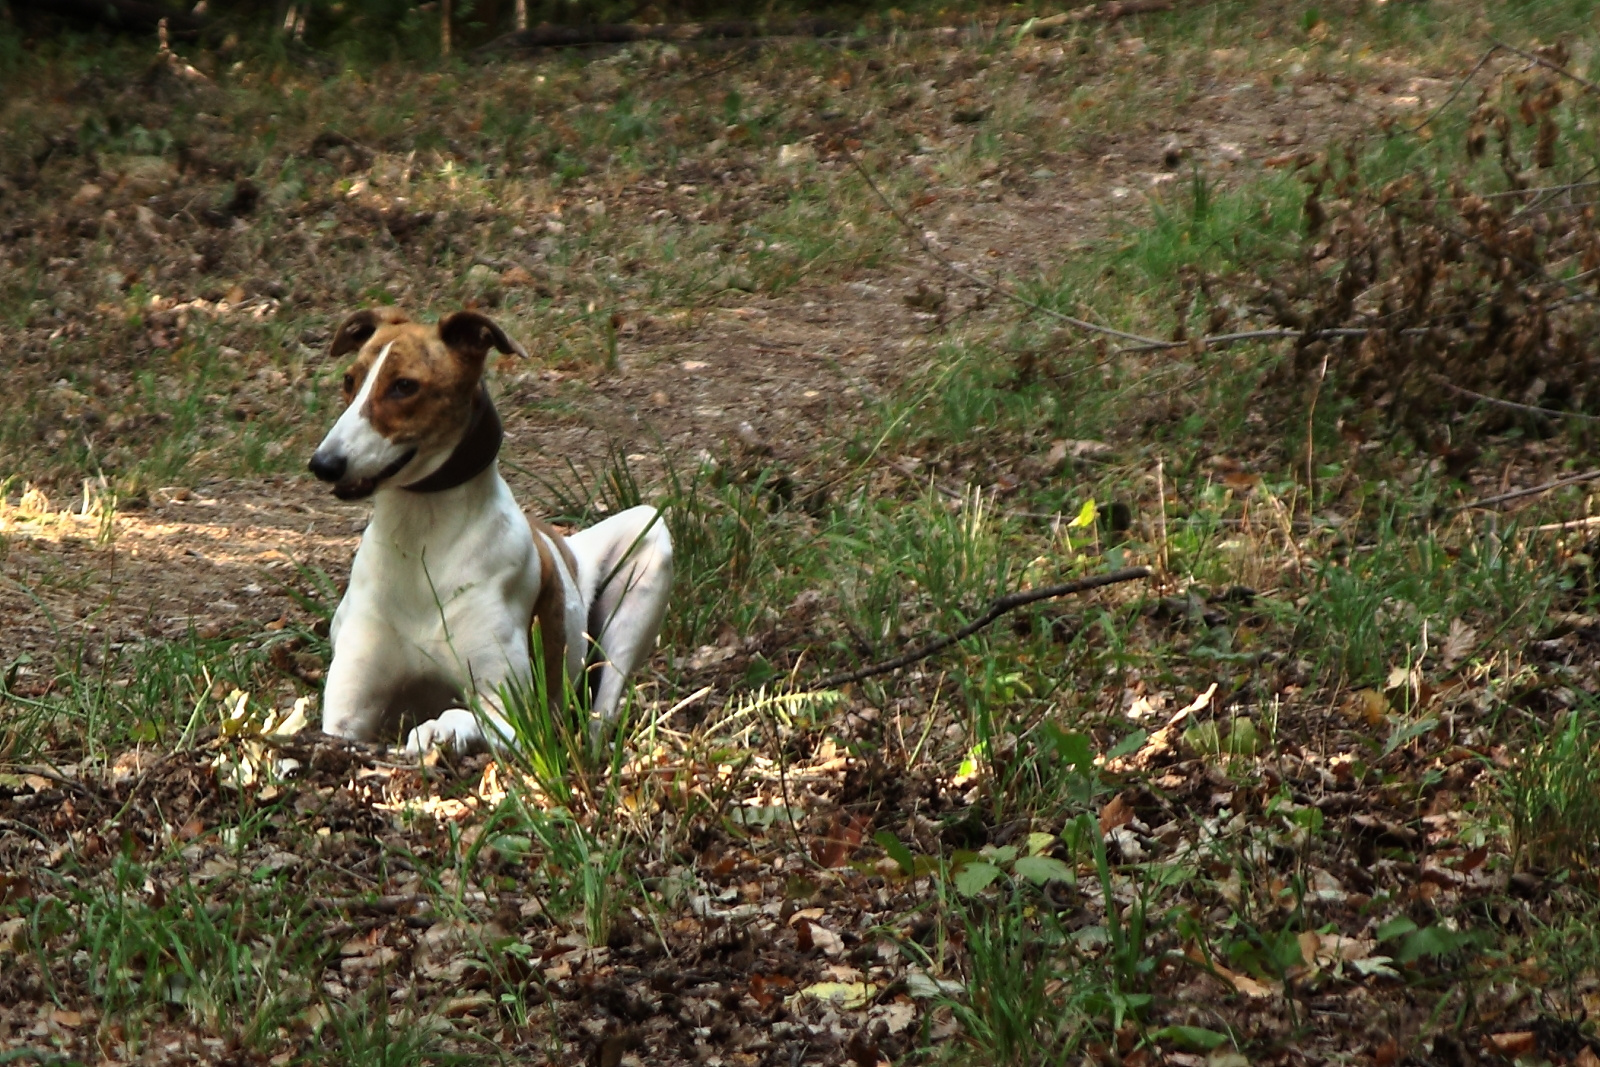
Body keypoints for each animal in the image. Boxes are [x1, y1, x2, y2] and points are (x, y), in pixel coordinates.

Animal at [307, 308, 675, 755]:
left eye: (404, 386)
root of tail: (566, 544)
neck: (421, 542)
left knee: (602, 707)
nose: (323, 464)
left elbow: (463, 714)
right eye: (350, 380)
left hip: (648, 541)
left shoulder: (514, 713)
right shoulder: (346, 718)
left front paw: (435, 730)